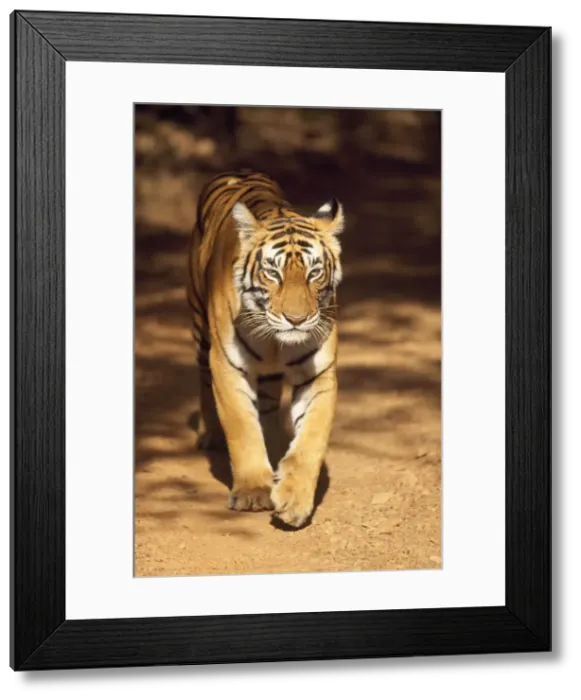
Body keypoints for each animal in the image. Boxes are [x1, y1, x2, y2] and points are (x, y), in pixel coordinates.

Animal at [186, 170, 344, 529]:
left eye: (314, 272)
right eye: (273, 273)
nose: (297, 320)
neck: (276, 343)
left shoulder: (318, 376)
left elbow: (310, 441)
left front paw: (294, 500)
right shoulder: (227, 367)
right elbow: (243, 430)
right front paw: (253, 492)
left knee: (270, 408)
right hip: (200, 330)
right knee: (202, 383)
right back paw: (210, 435)